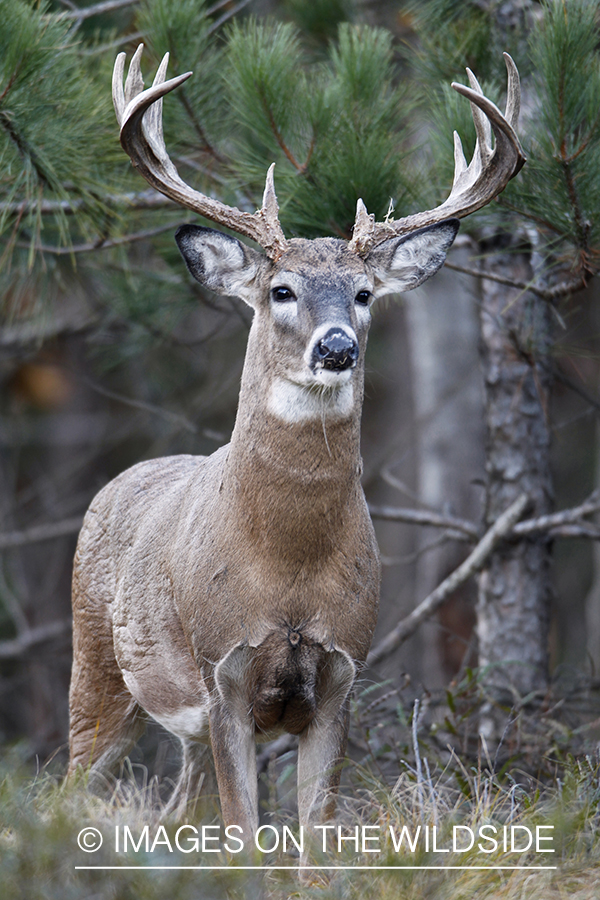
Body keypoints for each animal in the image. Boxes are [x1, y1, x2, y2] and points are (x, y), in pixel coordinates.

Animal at [68, 44, 524, 844]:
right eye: (281, 290)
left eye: (365, 294)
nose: (337, 346)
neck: (287, 564)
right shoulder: (222, 672)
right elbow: (243, 838)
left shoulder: (344, 672)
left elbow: (316, 838)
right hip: (95, 666)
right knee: (60, 790)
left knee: (179, 808)